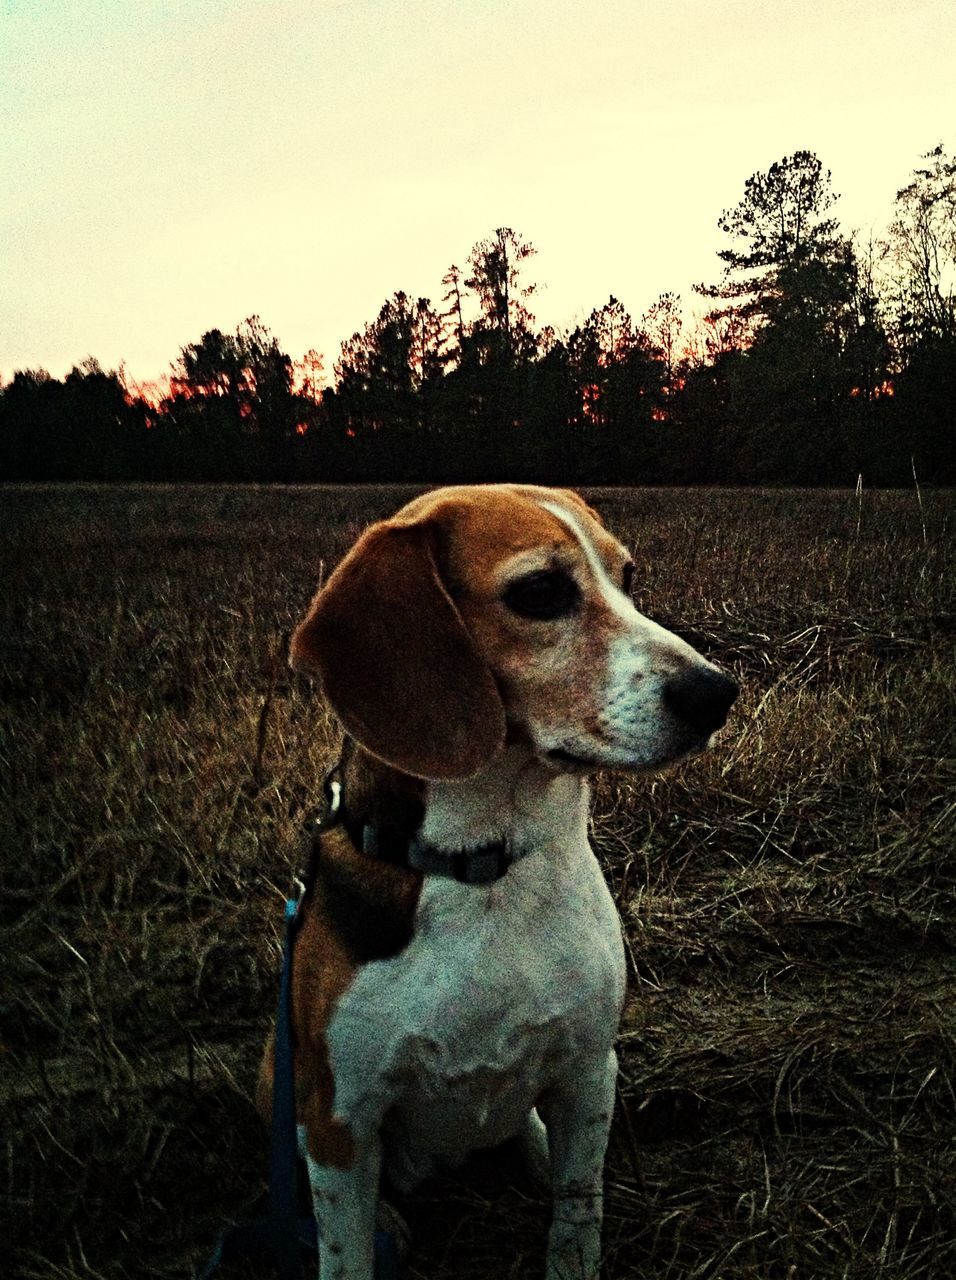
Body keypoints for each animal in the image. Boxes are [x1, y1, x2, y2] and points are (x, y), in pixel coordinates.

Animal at [262, 481, 742, 1280]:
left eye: (628, 577)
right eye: (541, 592)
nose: (718, 694)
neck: (485, 865)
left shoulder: (588, 1067)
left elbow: (578, 1221)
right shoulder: (339, 1112)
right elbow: (344, 1249)